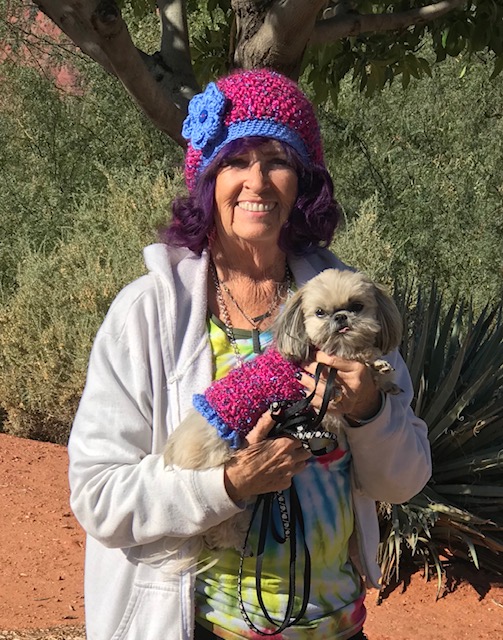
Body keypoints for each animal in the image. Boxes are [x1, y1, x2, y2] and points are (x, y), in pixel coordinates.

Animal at [163, 268, 404, 564]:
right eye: (320, 312)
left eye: (357, 306)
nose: (341, 317)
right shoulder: (327, 401)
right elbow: (361, 362)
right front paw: (376, 365)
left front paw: (384, 378)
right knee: (221, 528)